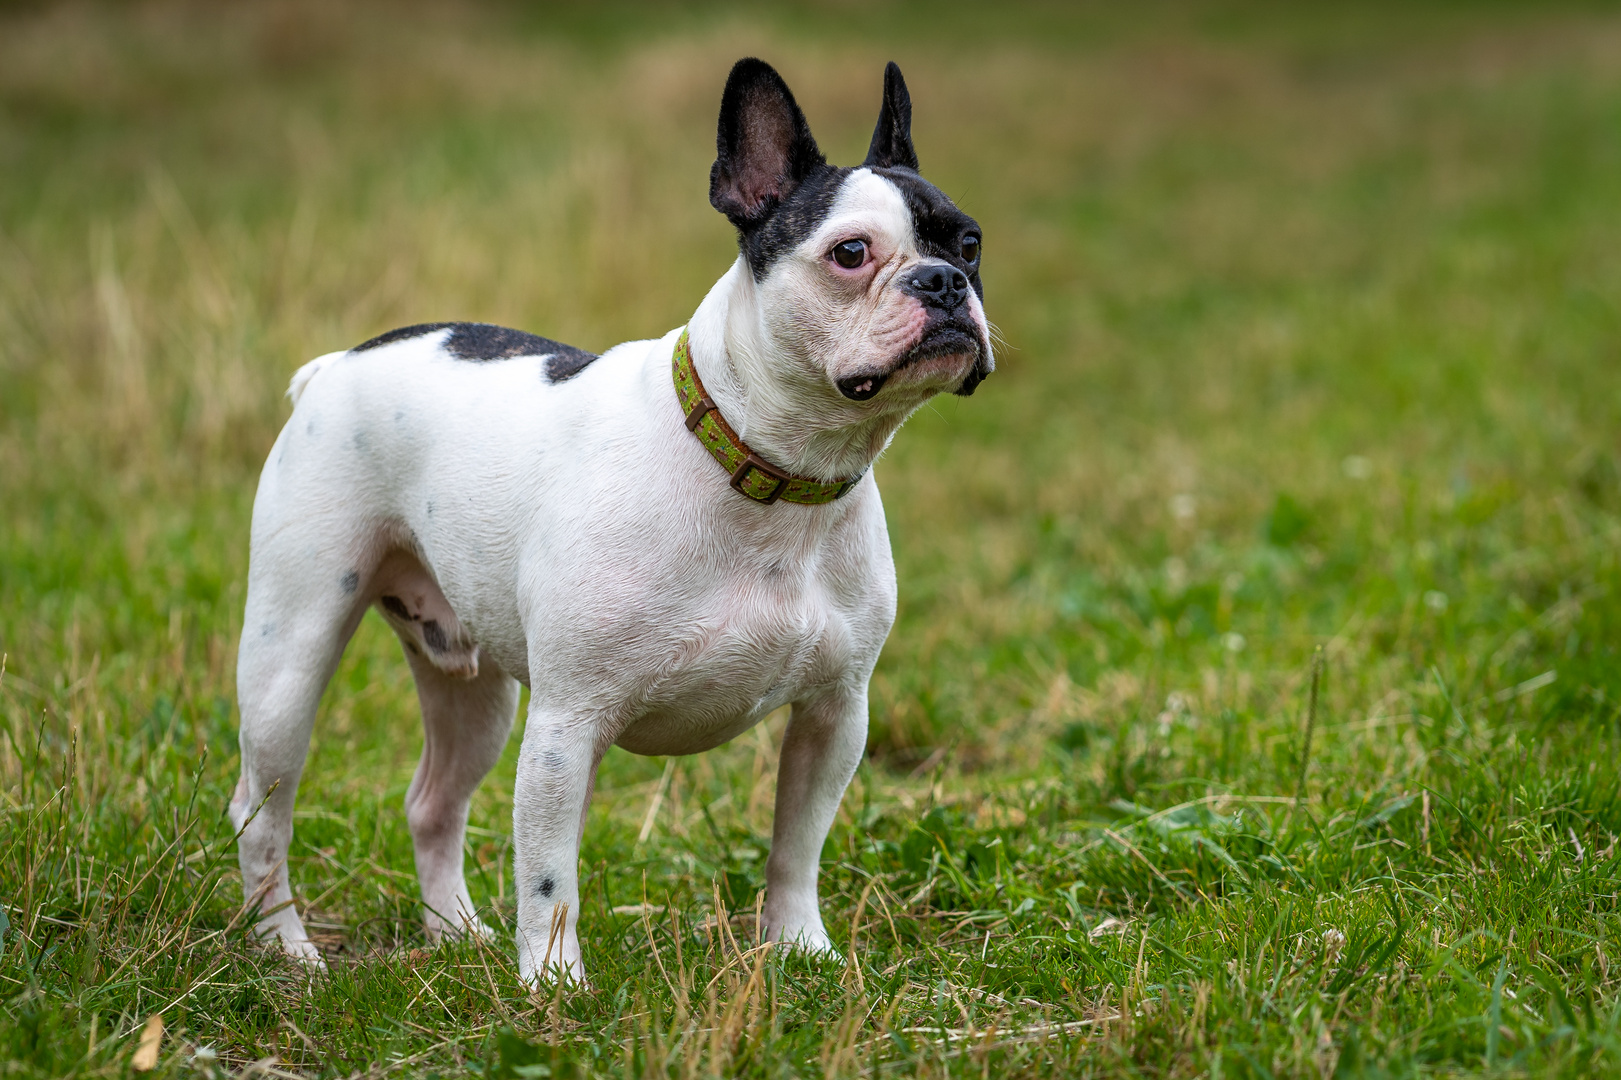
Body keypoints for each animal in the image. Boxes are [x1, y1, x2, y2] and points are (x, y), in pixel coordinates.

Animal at [228, 58, 985, 985]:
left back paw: (455, 932)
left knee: (433, 801)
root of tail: (336, 364)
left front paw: (799, 949)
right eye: (851, 253)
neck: (775, 478)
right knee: (261, 808)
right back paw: (286, 948)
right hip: (290, 654)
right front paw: (554, 984)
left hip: (472, 686)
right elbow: (550, 871)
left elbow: (796, 847)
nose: (943, 283)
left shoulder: (835, 713)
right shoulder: (567, 725)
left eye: (969, 243)